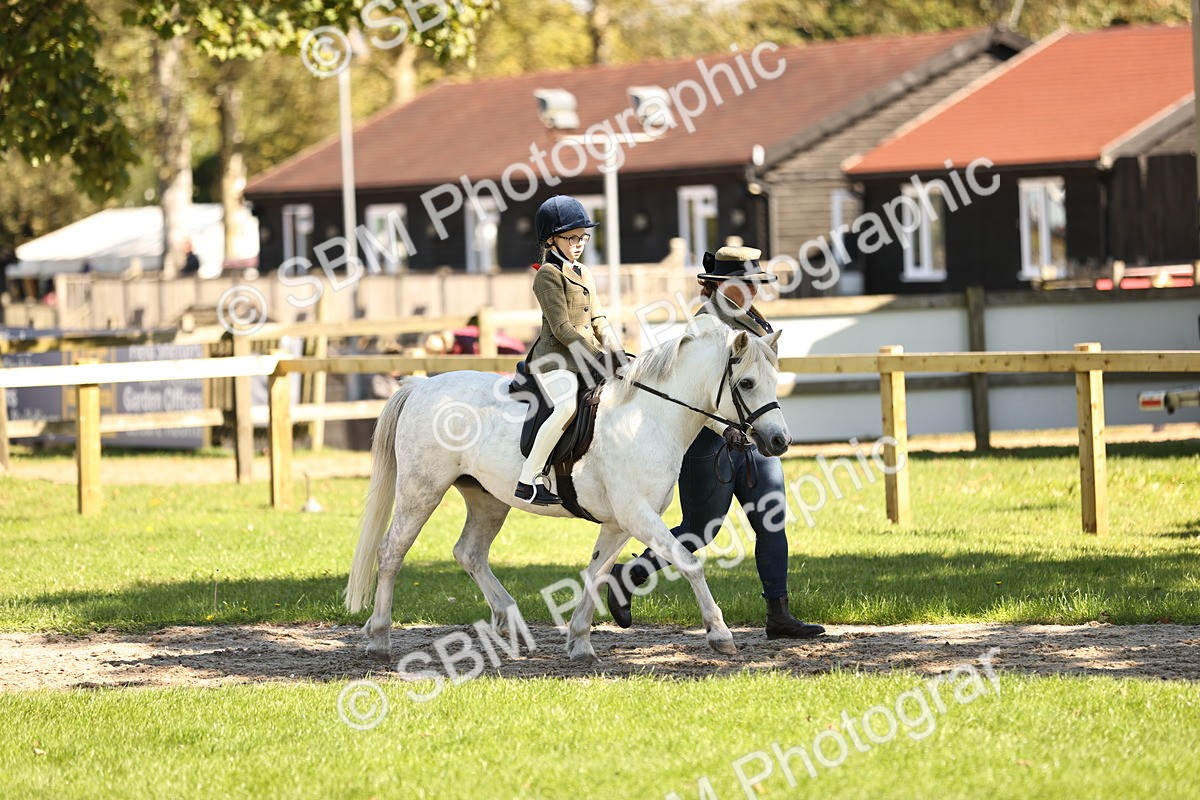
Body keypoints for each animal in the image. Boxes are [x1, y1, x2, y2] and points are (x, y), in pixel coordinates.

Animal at [345, 315, 791, 663]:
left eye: (774, 380)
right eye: (746, 383)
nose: (779, 441)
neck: (649, 416)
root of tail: (420, 386)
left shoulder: (618, 523)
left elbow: (596, 573)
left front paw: (579, 643)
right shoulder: (637, 514)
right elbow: (689, 562)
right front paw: (720, 634)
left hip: (487, 499)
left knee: (469, 553)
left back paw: (510, 622)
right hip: (421, 491)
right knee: (391, 552)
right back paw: (380, 637)